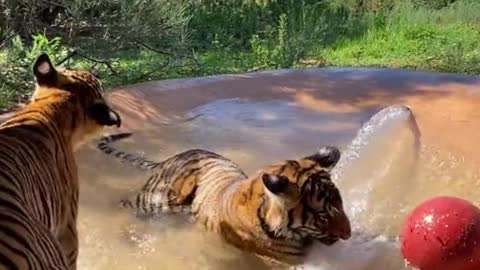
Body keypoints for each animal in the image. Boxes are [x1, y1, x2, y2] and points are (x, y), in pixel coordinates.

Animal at [98, 132, 352, 266]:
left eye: (340, 203)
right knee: (125, 203)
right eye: (322, 215)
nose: (348, 235)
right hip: (159, 200)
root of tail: (168, 159)